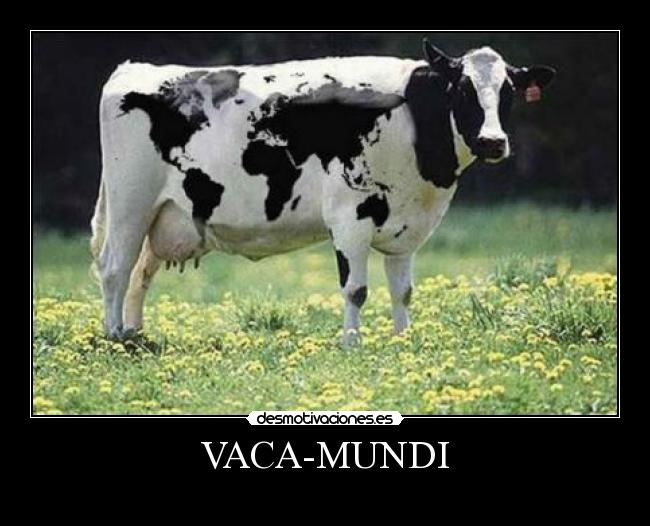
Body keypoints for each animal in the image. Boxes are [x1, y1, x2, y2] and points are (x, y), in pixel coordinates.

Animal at [90, 39, 555, 345]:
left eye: (509, 92)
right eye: (462, 89)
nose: (493, 142)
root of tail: (134, 69)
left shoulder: (406, 227)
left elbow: (402, 290)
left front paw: (403, 340)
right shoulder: (351, 216)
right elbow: (356, 289)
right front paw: (351, 344)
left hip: (163, 215)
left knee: (140, 274)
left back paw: (134, 335)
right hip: (131, 204)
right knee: (115, 268)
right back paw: (114, 337)